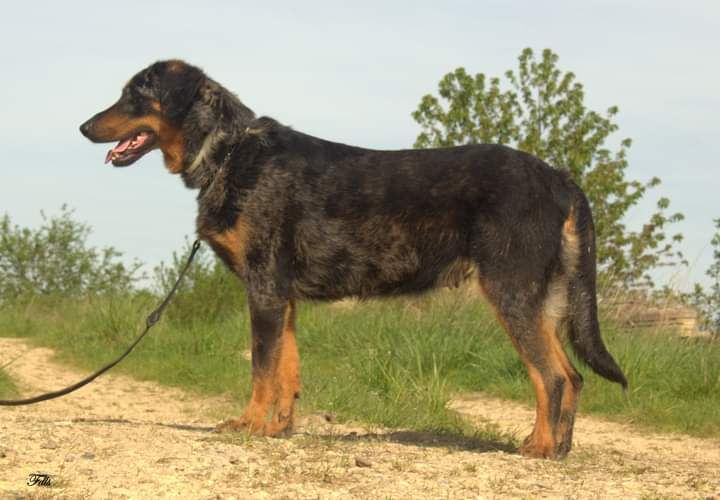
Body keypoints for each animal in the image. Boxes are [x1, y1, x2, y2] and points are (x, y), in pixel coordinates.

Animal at [81, 59, 628, 460]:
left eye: (135, 93)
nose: (84, 126)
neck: (228, 153)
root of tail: (559, 178)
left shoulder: (263, 290)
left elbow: (261, 369)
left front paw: (249, 426)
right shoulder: (282, 297)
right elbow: (287, 371)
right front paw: (277, 429)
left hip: (511, 292)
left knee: (551, 376)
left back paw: (540, 449)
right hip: (542, 300)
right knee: (571, 376)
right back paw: (557, 447)